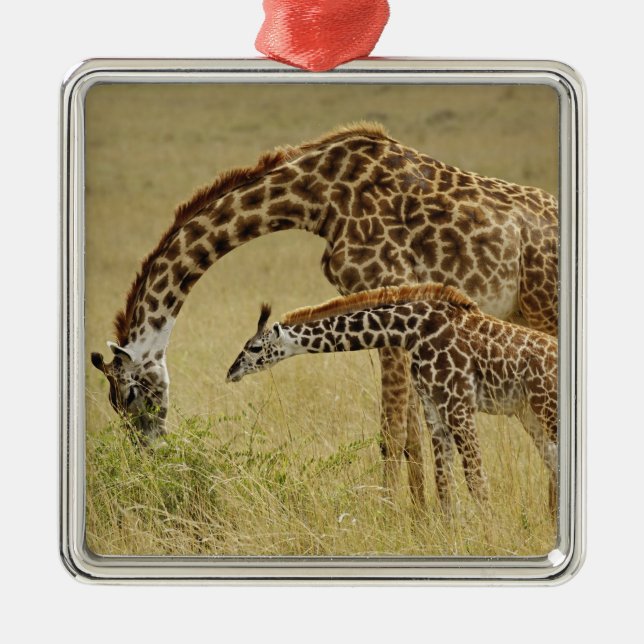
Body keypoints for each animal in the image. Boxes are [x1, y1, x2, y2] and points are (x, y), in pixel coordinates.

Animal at [226, 284, 558, 515]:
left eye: (254, 347)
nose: (231, 372)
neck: (413, 331)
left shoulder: (458, 403)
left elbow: (476, 480)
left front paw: (487, 538)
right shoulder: (434, 407)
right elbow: (443, 483)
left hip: (546, 409)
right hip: (529, 414)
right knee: (552, 464)